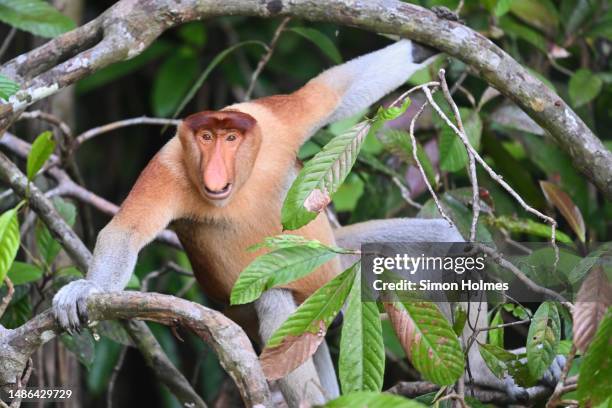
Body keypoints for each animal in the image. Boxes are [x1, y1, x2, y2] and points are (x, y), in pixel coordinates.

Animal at [55, 40, 560, 404]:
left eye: (231, 137)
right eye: (205, 138)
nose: (215, 168)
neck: (244, 179)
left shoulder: (269, 122)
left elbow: (327, 93)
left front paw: (433, 40)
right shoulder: (170, 168)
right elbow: (125, 231)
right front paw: (82, 291)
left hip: (341, 263)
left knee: (450, 245)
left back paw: (484, 375)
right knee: (273, 298)